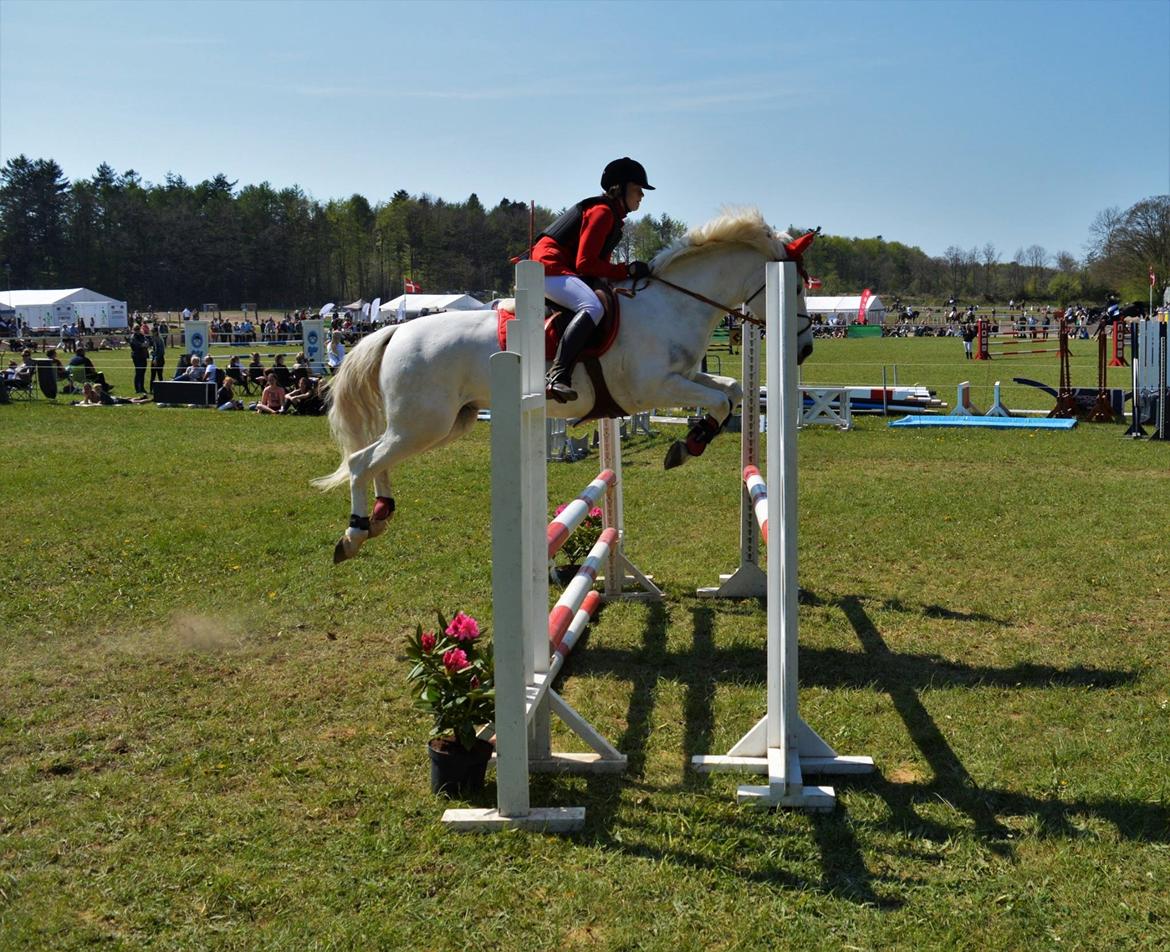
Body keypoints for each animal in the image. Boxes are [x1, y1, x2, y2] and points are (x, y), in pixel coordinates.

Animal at [315, 210, 819, 559]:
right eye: (795, 288)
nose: (805, 350)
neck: (673, 304)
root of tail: (395, 332)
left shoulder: (686, 376)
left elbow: (732, 390)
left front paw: (691, 441)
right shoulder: (655, 387)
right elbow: (719, 399)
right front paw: (685, 447)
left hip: (440, 424)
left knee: (377, 459)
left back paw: (380, 515)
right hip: (424, 424)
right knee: (361, 460)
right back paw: (354, 533)